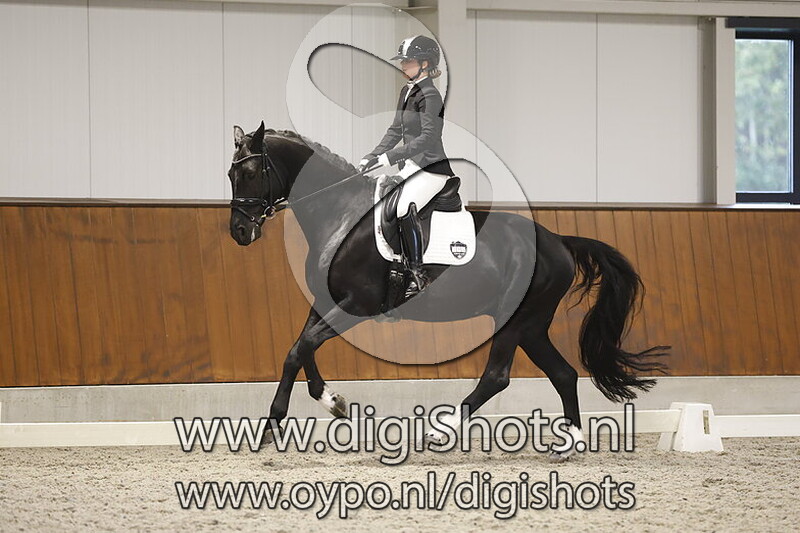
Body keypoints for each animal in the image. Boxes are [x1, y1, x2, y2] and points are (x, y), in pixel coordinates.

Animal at [227, 121, 668, 460]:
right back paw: (569, 445)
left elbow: (301, 348)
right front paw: (329, 404)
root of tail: (558, 240)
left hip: (516, 319)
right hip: (532, 326)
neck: (342, 216)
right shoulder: (325, 302)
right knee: (563, 373)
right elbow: (299, 350)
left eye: (249, 173)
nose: (239, 232)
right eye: (231, 175)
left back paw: (438, 432)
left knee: (497, 377)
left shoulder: (356, 303)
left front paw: (275, 424)